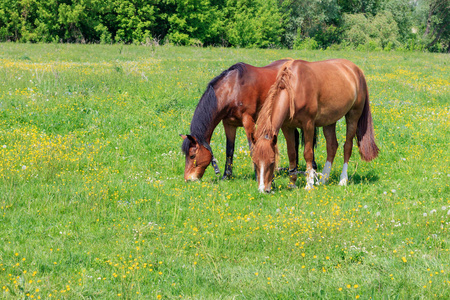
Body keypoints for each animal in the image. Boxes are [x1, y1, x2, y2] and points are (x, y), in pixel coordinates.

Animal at [179, 60, 316, 180]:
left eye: (192, 155)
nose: (188, 179)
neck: (233, 89)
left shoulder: (248, 121)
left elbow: (252, 148)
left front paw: (257, 176)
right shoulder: (229, 124)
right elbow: (229, 149)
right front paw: (226, 176)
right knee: (295, 137)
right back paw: (293, 168)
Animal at [251, 59, 378, 192]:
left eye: (272, 162)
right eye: (255, 162)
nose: (263, 190)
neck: (294, 87)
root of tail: (356, 70)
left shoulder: (308, 125)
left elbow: (308, 153)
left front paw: (309, 184)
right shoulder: (287, 127)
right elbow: (292, 154)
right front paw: (292, 183)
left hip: (353, 116)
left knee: (347, 146)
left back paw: (343, 180)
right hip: (330, 120)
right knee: (332, 146)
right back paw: (323, 180)